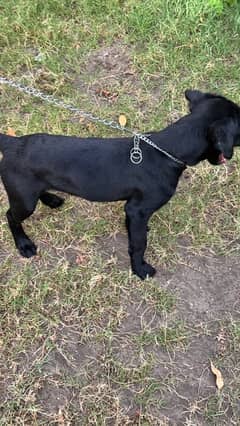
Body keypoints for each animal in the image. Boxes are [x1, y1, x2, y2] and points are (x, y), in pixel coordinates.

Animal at [0, 88, 240, 280]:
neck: (167, 151)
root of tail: (14, 143)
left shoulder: (133, 210)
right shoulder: (138, 209)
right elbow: (139, 244)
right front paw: (140, 269)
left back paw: (51, 199)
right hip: (24, 200)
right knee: (11, 216)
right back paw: (24, 244)